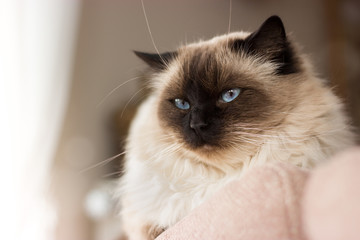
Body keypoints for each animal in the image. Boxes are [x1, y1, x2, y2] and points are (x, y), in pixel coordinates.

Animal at [117, 15, 354, 239]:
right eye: (182, 103)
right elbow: (155, 228)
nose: (197, 125)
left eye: (229, 95)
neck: (222, 178)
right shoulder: (144, 223)